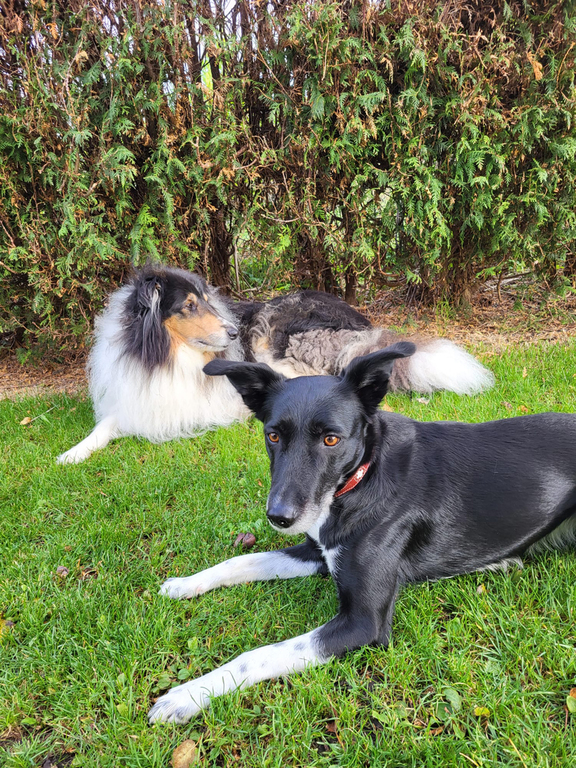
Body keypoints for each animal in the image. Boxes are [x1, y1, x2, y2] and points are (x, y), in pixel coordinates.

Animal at [57, 264, 494, 464]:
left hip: (276, 339)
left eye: (207, 301)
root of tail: (360, 321)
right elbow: (106, 426)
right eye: (189, 305)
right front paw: (72, 453)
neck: (168, 355)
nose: (234, 332)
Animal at [148, 344, 576, 724]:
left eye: (331, 439)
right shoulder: (318, 553)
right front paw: (184, 584)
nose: (279, 517)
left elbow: (258, 654)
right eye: (273, 435)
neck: (361, 478)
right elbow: (242, 560)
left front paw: (187, 696)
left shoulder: (363, 622)